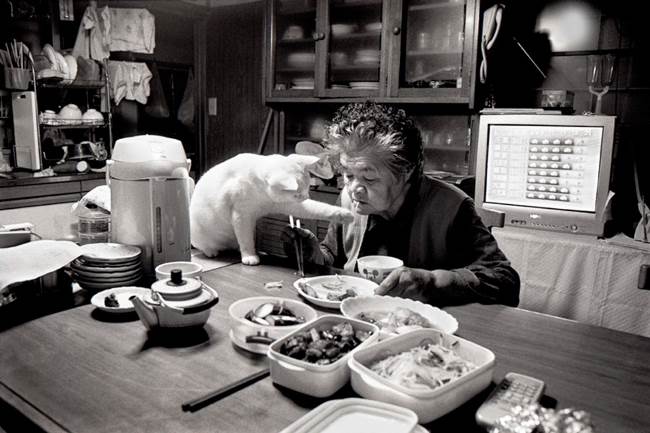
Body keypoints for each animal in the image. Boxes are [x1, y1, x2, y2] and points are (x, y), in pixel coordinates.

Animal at [190, 154, 352, 264]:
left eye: (307, 189)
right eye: (297, 194)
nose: (305, 196)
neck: (263, 193)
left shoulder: (288, 204)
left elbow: (321, 208)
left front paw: (346, 214)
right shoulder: (241, 215)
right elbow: (246, 239)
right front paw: (249, 256)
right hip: (199, 233)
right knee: (206, 245)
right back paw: (212, 251)